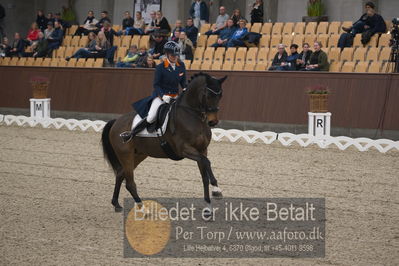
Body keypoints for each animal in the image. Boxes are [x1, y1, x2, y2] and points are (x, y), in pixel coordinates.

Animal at [101, 74, 228, 213]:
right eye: (208, 95)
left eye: (221, 95)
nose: (213, 122)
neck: (192, 115)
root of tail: (116, 121)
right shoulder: (184, 149)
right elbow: (207, 162)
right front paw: (217, 190)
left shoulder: (202, 150)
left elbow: (204, 176)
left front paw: (208, 207)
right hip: (126, 154)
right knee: (129, 183)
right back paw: (143, 209)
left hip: (138, 154)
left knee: (120, 174)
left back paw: (116, 204)